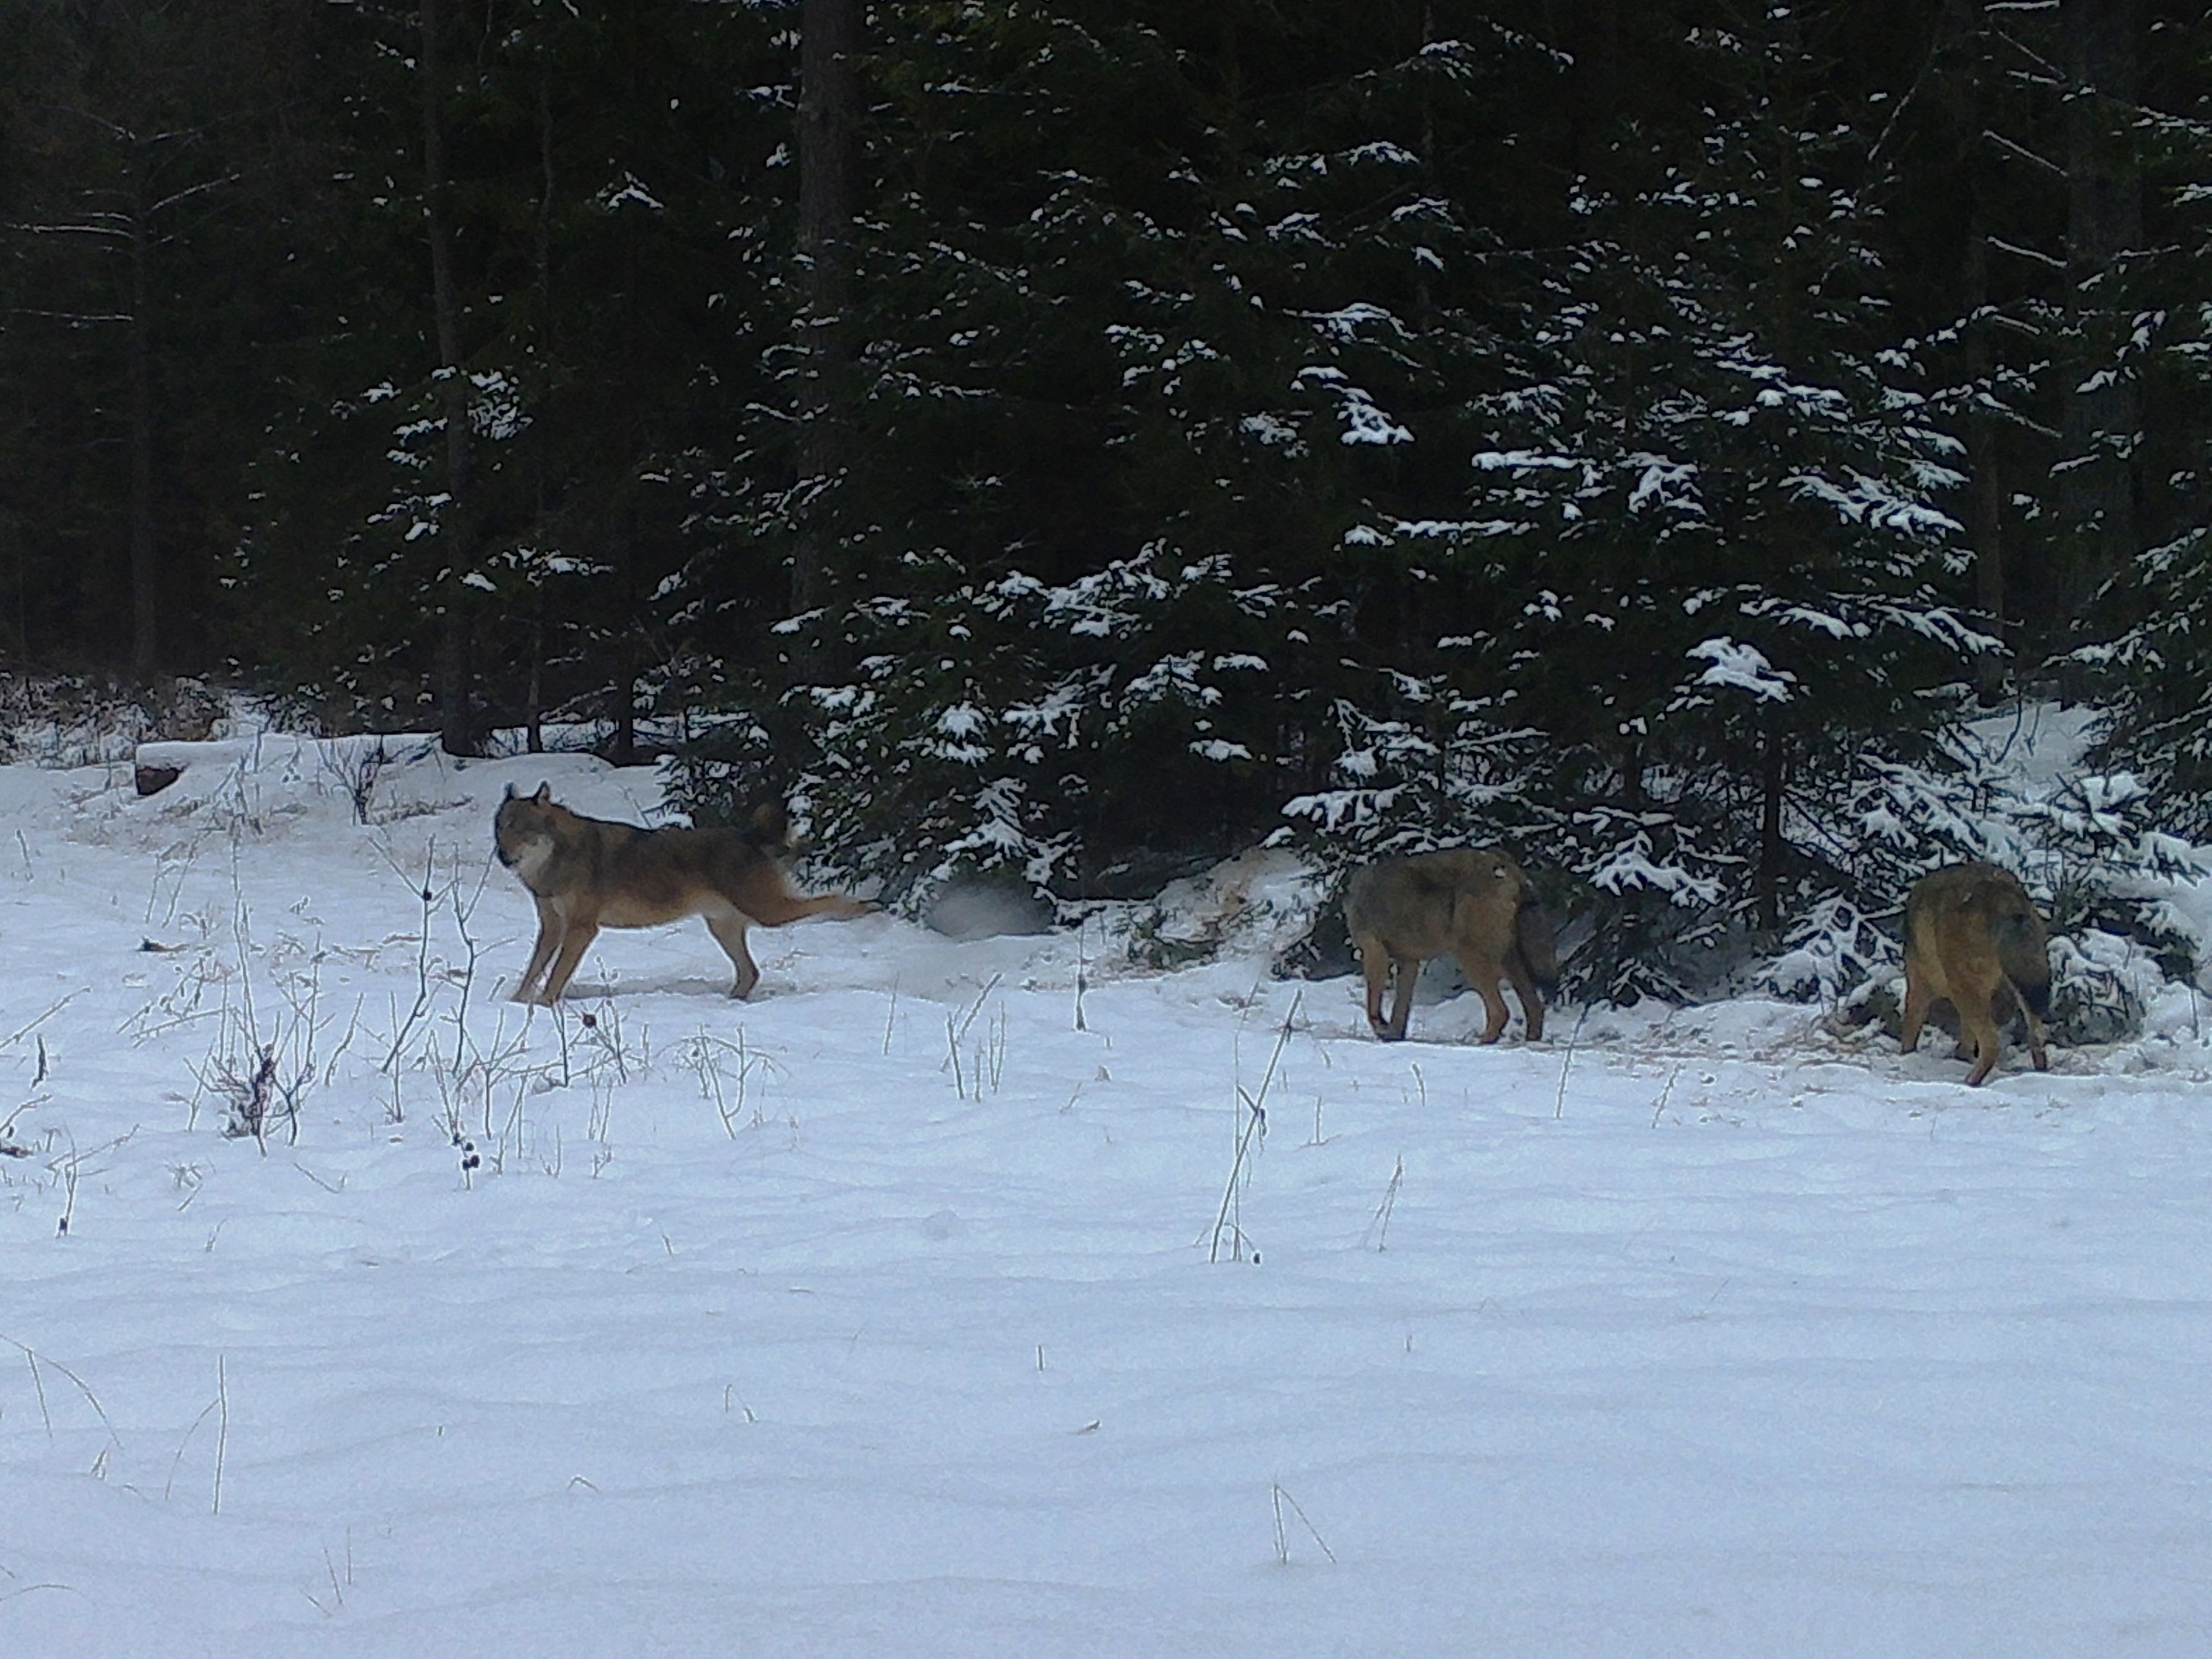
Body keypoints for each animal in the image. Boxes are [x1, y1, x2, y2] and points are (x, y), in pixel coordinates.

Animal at [493, 787, 871, 1008]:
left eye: (522, 830)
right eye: (500, 828)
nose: (502, 856)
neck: (557, 861)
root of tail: (746, 835)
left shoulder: (582, 929)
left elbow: (556, 974)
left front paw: (542, 1005)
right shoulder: (552, 927)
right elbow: (533, 970)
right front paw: (517, 1001)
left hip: (768, 913)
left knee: (825, 901)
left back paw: (864, 907)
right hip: (723, 928)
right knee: (750, 972)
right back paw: (728, 1003)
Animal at [1336, 849, 1566, 1044]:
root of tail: (1508, 866)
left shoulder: (1374, 952)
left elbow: (1371, 1007)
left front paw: (1382, 1030)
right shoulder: (1408, 961)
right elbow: (1400, 1009)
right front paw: (1393, 1035)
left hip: (1470, 956)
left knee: (1502, 1011)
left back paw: (1482, 1042)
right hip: (1508, 960)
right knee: (1534, 1006)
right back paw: (1529, 1041)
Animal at [1893, 863, 2044, 1084]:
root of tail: (2004, 896)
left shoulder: (1920, 985)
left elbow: (1910, 1028)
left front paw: (1907, 1056)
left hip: (1965, 988)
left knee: (1992, 1044)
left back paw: (1970, 1082)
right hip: (2021, 986)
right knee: (2037, 1034)